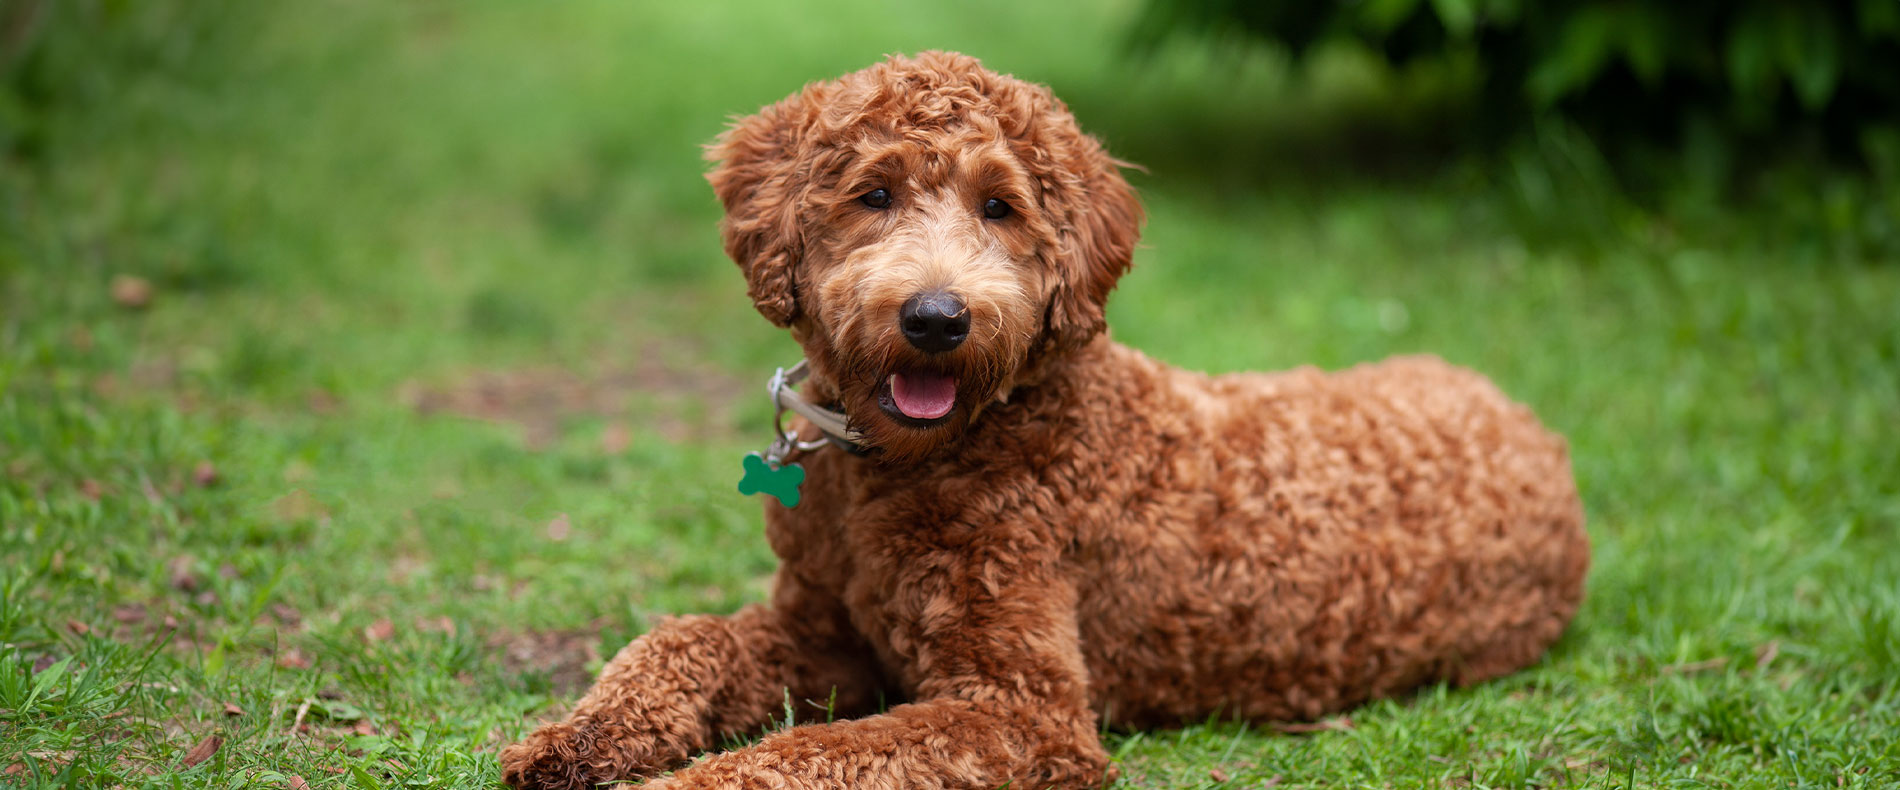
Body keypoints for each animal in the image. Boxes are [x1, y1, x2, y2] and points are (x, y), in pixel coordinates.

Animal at [501, 52, 1588, 786]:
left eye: (1001, 207)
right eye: (874, 193)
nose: (937, 318)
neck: (912, 461)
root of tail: (1527, 421)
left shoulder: (1018, 709)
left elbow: (812, 753)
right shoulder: (821, 635)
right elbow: (683, 637)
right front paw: (577, 736)